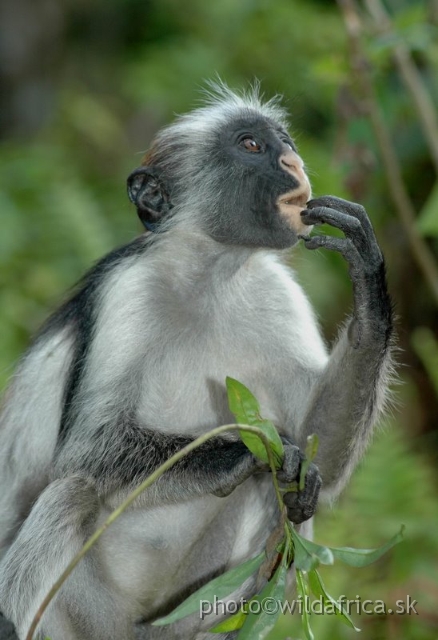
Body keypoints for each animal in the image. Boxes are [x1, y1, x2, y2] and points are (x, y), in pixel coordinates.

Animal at [0, 84, 394, 640]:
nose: (293, 162)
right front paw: (247, 452)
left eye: (286, 141)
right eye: (251, 145)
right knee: (72, 490)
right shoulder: (128, 288)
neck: (212, 275)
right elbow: (85, 452)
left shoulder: (277, 293)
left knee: (277, 499)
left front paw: (368, 282)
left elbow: (320, 456)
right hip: (78, 611)